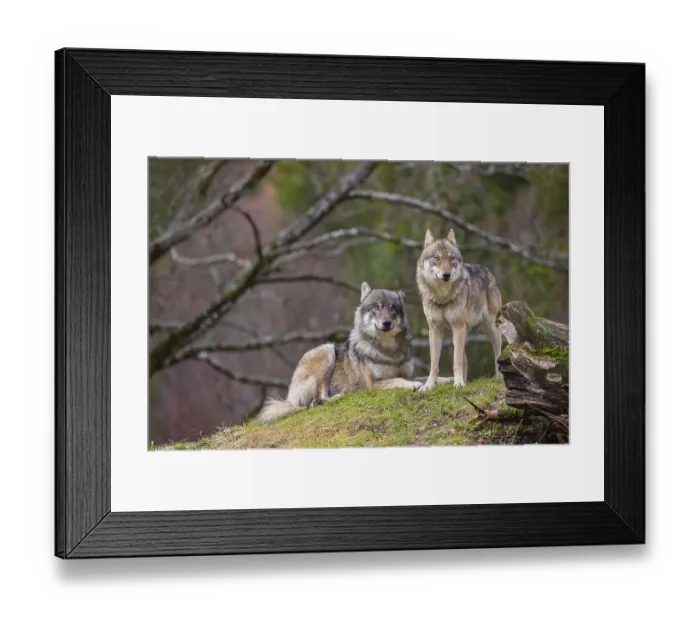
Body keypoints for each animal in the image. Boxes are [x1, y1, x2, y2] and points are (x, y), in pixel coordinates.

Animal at [256, 282, 431, 424]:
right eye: (376, 307)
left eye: (392, 309)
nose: (386, 323)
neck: (389, 350)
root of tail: (289, 398)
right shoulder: (374, 384)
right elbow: (398, 380)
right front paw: (414, 385)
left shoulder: (410, 373)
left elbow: (425, 377)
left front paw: (432, 382)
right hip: (327, 351)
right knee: (321, 397)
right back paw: (338, 396)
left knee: (313, 403)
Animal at [416, 228, 503, 391]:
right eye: (437, 258)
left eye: (451, 259)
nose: (446, 274)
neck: (442, 297)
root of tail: (487, 271)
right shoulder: (435, 329)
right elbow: (434, 364)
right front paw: (429, 385)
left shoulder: (458, 326)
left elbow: (456, 361)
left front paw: (459, 384)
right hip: (460, 334)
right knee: (465, 360)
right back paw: (464, 380)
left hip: (490, 329)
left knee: (498, 354)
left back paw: (499, 378)